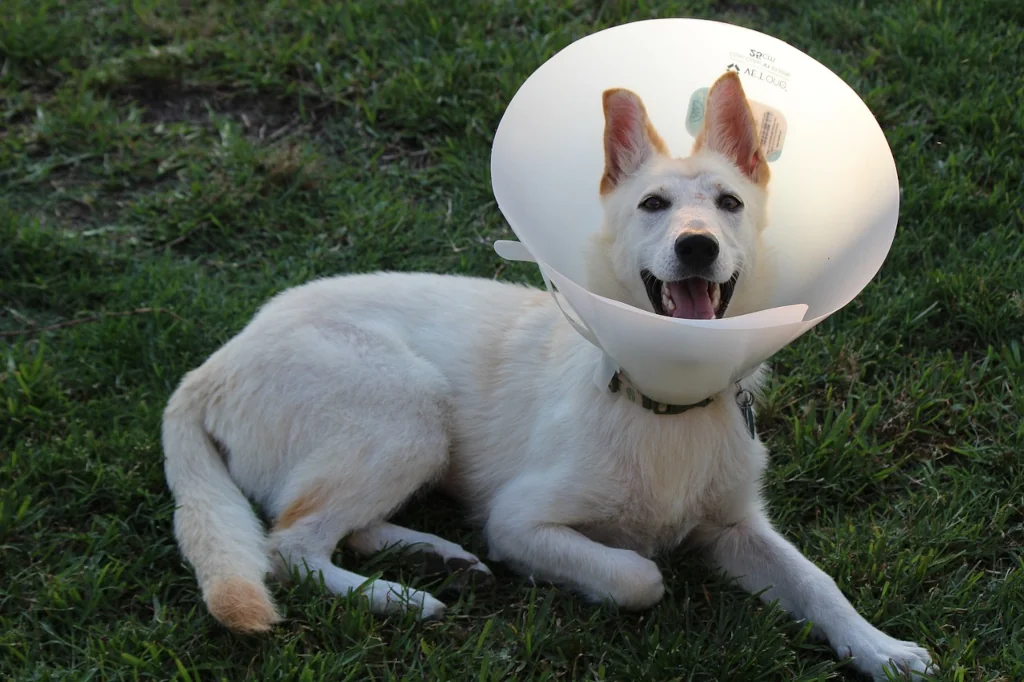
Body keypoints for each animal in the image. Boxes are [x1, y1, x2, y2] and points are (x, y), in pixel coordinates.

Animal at [161, 71, 937, 675]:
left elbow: (817, 580)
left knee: (334, 528)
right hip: (410, 414)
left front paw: (881, 648)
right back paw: (401, 596)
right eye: (652, 205)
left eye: (729, 204)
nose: (697, 247)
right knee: (289, 545)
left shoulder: (738, 528)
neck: (662, 402)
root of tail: (211, 365)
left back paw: (436, 555)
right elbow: (639, 574)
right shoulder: (521, 521)